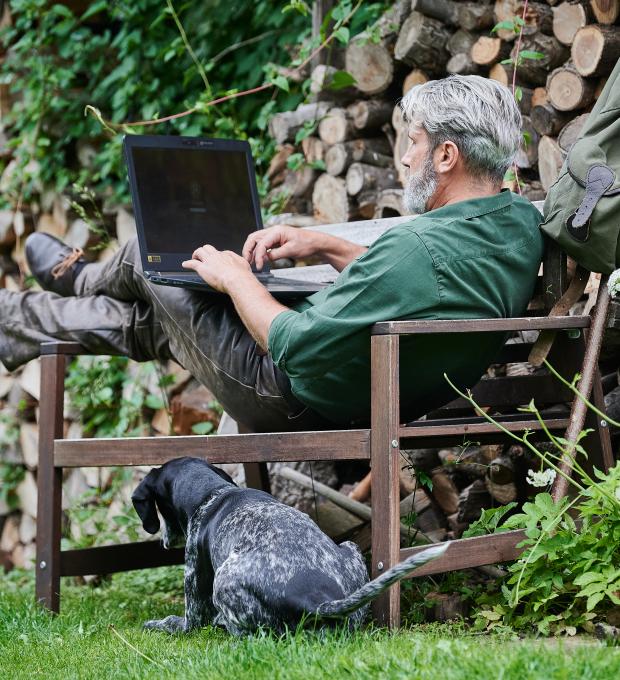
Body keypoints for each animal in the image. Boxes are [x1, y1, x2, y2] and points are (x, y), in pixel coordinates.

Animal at [133, 456, 448, 636]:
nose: (164, 542)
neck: (214, 493)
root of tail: (320, 601)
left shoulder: (194, 599)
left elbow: (181, 623)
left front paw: (156, 624)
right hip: (351, 549)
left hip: (223, 581)